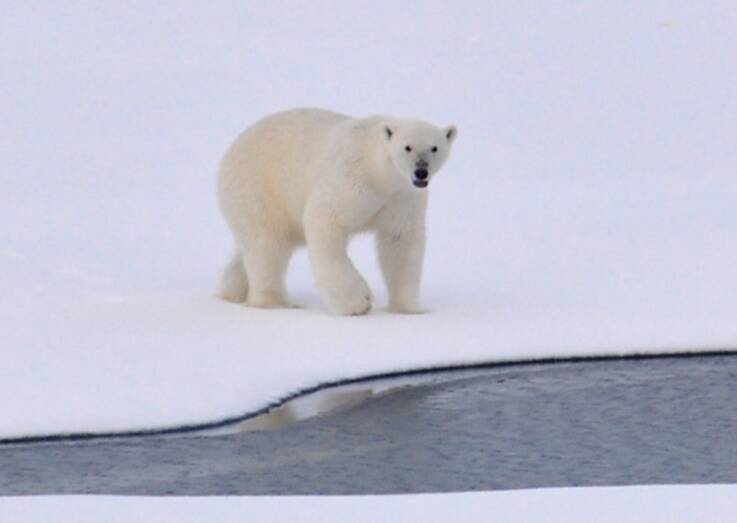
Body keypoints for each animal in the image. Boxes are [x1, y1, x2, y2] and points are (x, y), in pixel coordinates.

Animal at [216, 108, 454, 316]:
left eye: (434, 147)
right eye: (407, 147)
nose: (421, 171)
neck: (378, 173)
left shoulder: (402, 197)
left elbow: (400, 241)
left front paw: (409, 309)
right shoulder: (350, 179)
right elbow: (325, 220)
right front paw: (358, 302)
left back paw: (232, 291)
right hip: (259, 189)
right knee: (266, 246)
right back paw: (275, 303)